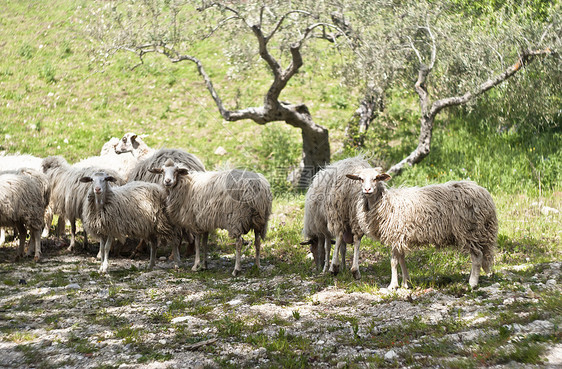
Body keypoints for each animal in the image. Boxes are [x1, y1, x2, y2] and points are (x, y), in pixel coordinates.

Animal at [348, 168, 496, 288]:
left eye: (376, 178)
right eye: (360, 179)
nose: (367, 190)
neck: (385, 203)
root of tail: (485, 195)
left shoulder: (395, 235)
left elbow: (394, 262)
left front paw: (393, 285)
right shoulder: (400, 237)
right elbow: (401, 260)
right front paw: (406, 283)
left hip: (469, 229)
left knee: (477, 256)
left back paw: (472, 283)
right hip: (478, 231)